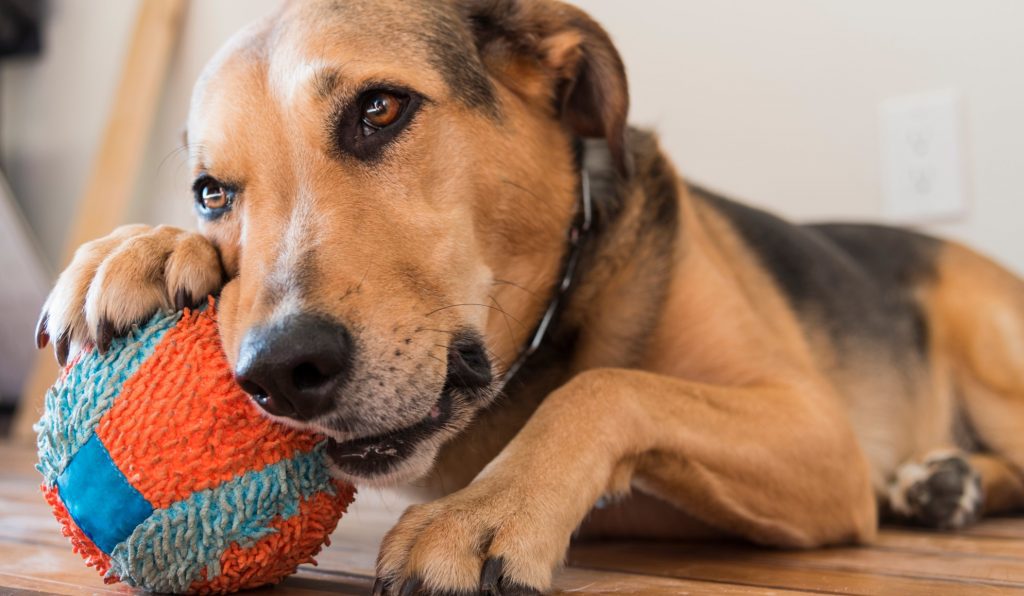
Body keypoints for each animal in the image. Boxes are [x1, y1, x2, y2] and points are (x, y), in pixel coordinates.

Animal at [32, 0, 1024, 593]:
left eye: (380, 109)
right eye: (211, 193)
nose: (278, 371)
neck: (555, 317)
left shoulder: (815, 434)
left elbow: (607, 387)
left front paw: (484, 514)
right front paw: (136, 251)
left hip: (986, 351)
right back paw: (943, 483)